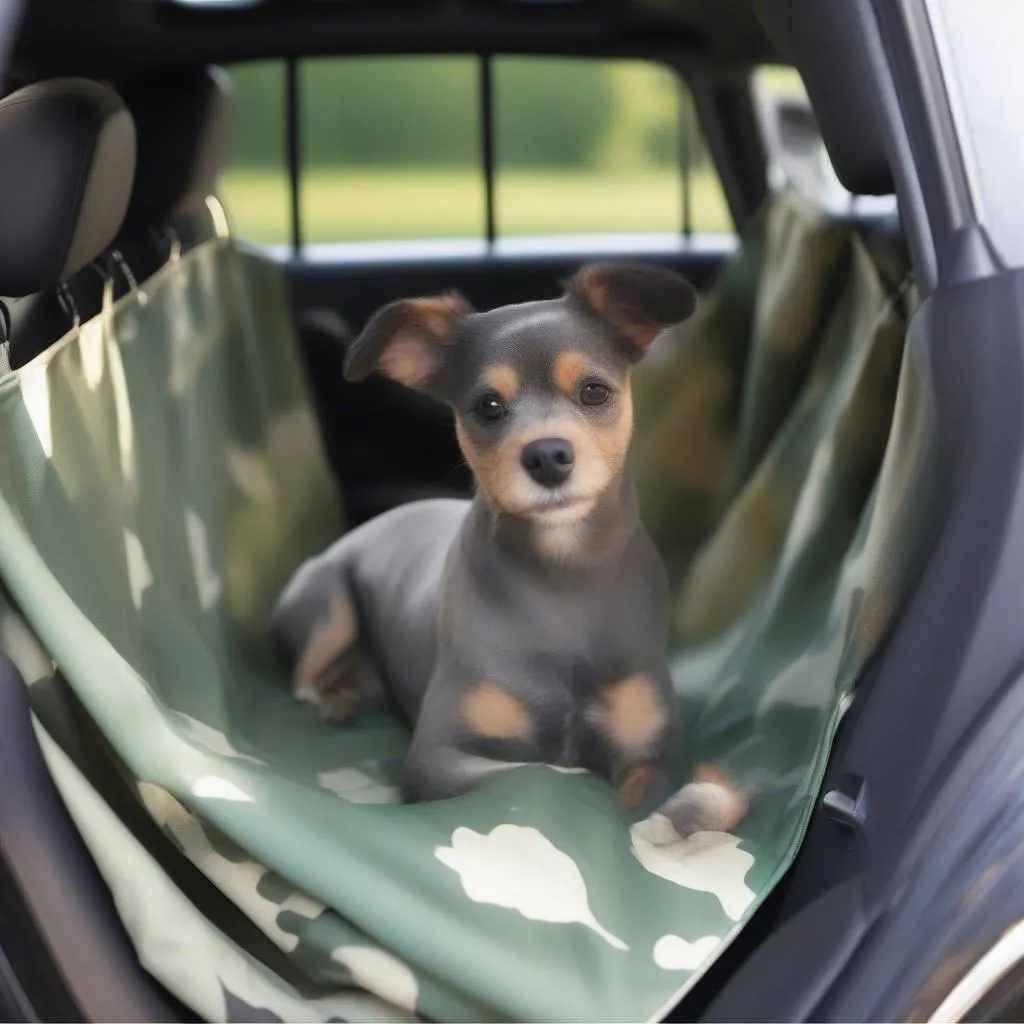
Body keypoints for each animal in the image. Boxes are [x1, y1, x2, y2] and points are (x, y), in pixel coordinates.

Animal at [272, 260, 749, 835]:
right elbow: (540, 773)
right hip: (327, 603)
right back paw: (337, 696)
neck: (562, 585)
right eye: (488, 406)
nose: (546, 455)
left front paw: (692, 809)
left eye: (594, 391)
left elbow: (639, 801)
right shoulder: (440, 756)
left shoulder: (649, 755)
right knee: (305, 678)